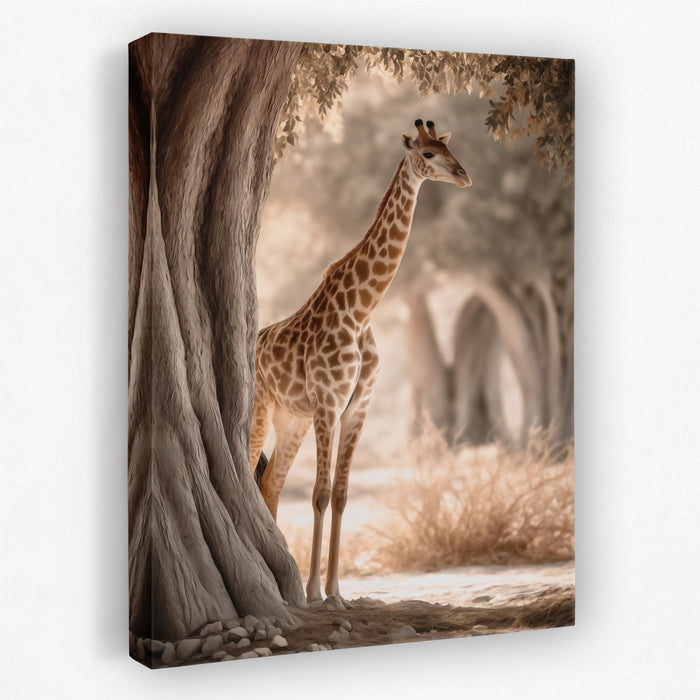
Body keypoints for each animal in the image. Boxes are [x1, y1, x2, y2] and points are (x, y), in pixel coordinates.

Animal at [249, 119, 471, 604]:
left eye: (448, 146)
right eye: (427, 154)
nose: (464, 175)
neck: (361, 311)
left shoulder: (358, 407)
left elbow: (342, 495)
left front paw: (336, 591)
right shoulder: (329, 403)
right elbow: (319, 493)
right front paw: (315, 592)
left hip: (291, 420)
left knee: (271, 482)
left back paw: (283, 582)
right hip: (259, 410)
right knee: (251, 472)